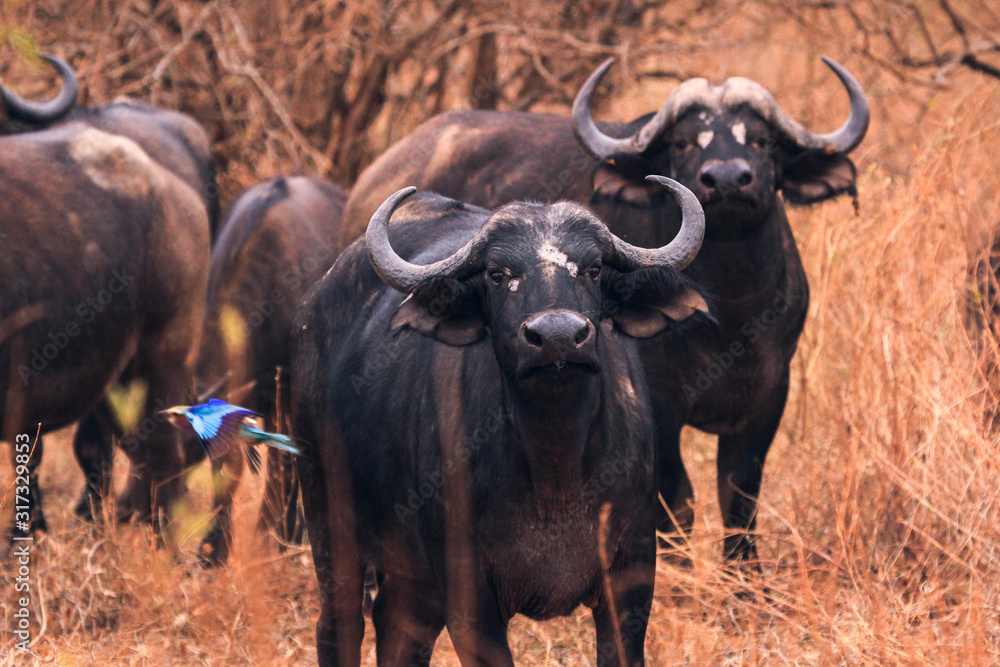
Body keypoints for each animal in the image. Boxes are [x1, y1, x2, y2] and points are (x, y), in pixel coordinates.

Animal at [292, 177, 710, 665]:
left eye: (592, 269)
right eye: (497, 274)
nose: (557, 336)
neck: (556, 472)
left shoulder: (631, 580)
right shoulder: (469, 600)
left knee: (397, 630)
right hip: (328, 523)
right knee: (339, 625)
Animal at [338, 57, 869, 563]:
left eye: (762, 140)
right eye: (682, 143)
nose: (725, 179)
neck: (727, 311)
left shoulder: (769, 395)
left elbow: (739, 498)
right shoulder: (661, 403)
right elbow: (677, 501)